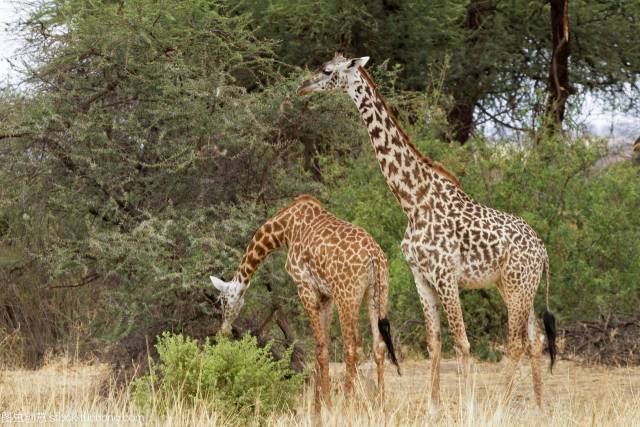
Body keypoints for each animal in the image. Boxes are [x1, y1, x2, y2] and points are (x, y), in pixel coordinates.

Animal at [210, 196, 400, 412]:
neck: (284, 229)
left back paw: (347, 405)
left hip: (347, 295)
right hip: (378, 292)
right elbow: (323, 348)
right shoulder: (326, 295)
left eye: (222, 301)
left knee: (352, 347)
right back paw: (381, 406)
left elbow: (319, 348)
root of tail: (374, 256)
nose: (224, 330)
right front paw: (322, 407)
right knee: (379, 346)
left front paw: (325, 408)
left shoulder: (305, 287)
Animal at [298, 53, 556, 414]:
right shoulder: (421, 277)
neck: (412, 199)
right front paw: (434, 408)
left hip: (518, 286)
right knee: (535, 338)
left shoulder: (445, 274)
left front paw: (468, 407)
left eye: (327, 70)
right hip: (515, 286)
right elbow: (434, 342)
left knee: (516, 341)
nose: (302, 87)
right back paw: (539, 405)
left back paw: (501, 406)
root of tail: (543, 251)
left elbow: (462, 342)